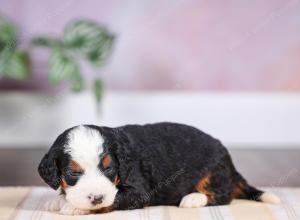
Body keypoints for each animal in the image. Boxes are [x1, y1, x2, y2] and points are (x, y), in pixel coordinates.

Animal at [38, 122, 280, 215]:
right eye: (73, 173)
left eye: (109, 169)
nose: (96, 197)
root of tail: (230, 162)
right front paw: (58, 200)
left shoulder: (139, 191)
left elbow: (112, 200)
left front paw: (76, 208)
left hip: (214, 172)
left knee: (223, 196)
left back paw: (193, 198)